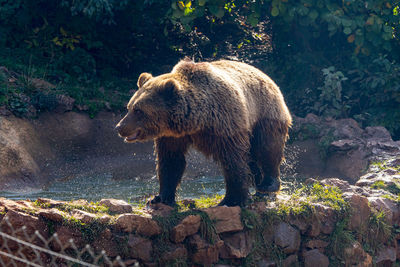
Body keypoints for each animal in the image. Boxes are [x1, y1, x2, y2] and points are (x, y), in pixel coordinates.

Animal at [115, 58, 290, 207]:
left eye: (138, 110)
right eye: (129, 107)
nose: (119, 127)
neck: (196, 119)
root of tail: (266, 76)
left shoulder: (225, 124)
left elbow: (233, 159)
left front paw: (232, 199)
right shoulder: (171, 136)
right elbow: (171, 160)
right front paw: (159, 197)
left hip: (264, 113)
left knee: (267, 148)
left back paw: (267, 185)